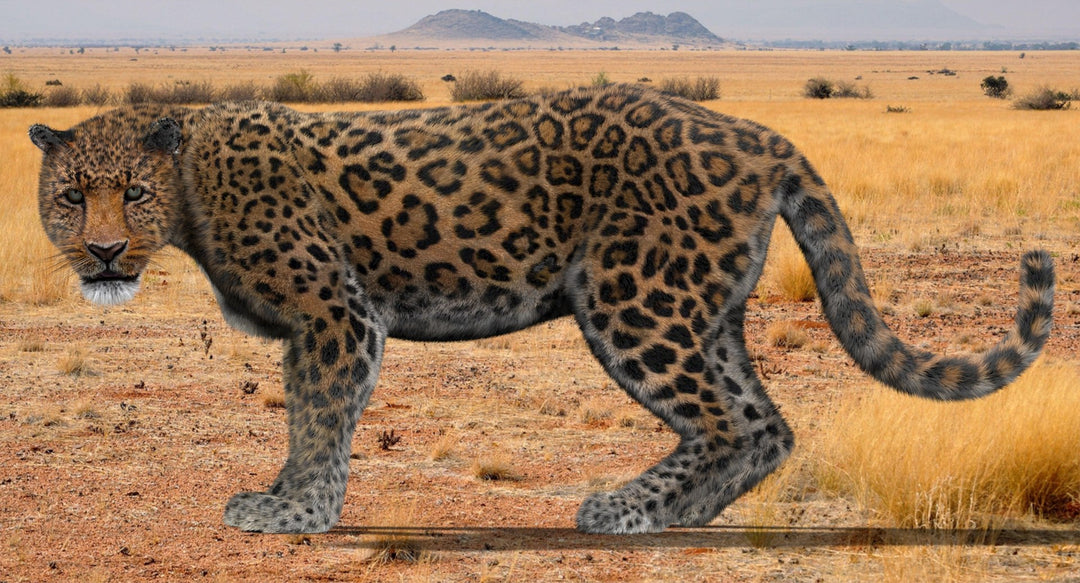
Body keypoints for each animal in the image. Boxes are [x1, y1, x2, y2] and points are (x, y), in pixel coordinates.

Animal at [29, 84, 1054, 535]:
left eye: (130, 193)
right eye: (73, 197)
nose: (106, 254)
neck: (189, 183)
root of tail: (762, 134)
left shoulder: (338, 313)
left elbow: (318, 418)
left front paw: (296, 511)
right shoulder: (326, 323)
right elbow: (304, 418)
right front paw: (287, 498)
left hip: (635, 297)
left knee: (731, 418)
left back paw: (625, 508)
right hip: (700, 305)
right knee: (762, 421)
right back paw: (673, 512)